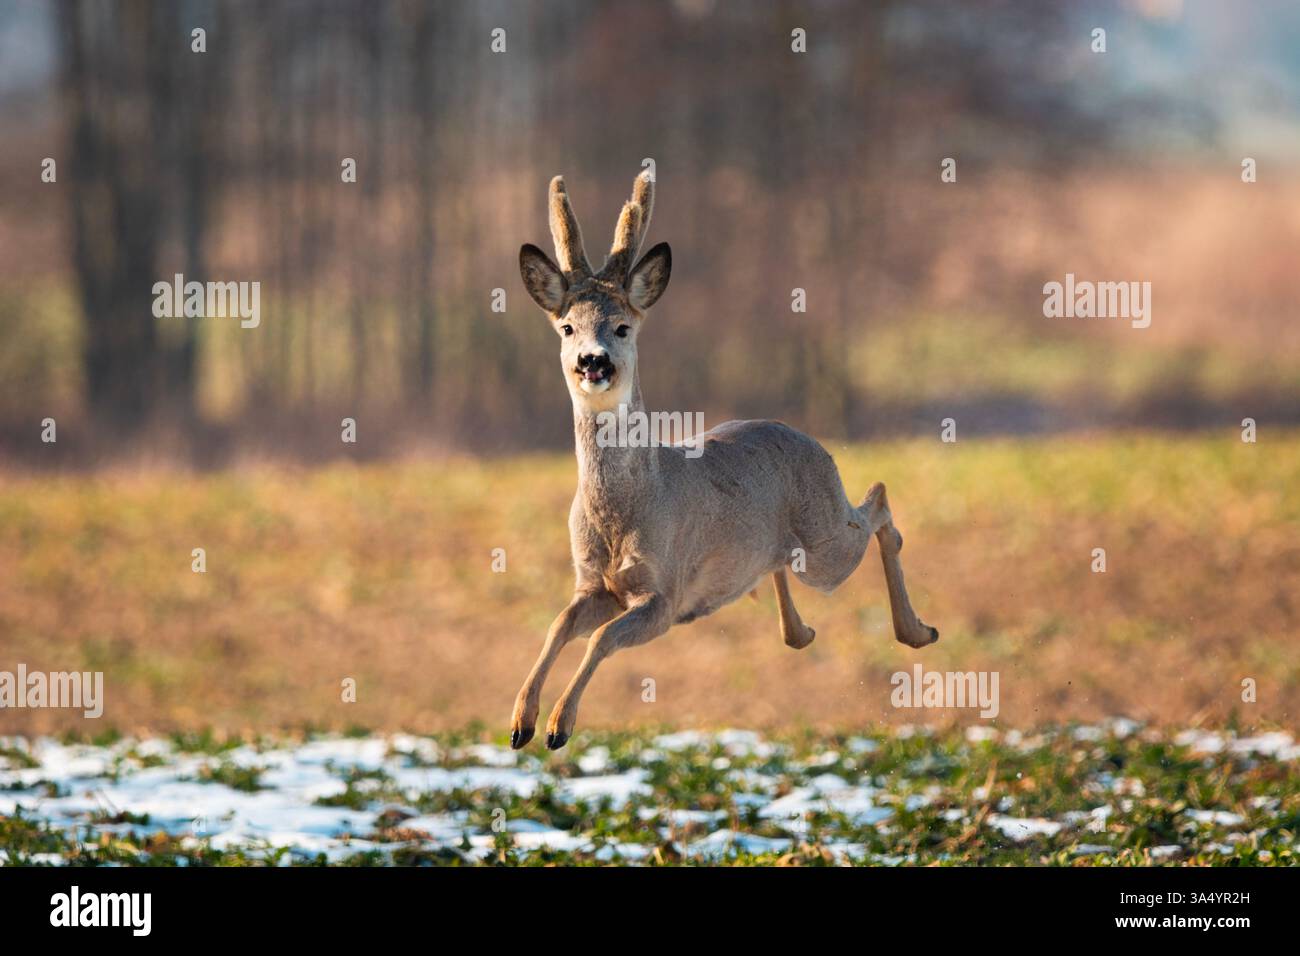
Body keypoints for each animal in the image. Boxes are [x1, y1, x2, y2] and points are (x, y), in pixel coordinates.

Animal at [511, 170, 938, 751]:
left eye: (622, 326)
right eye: (567, 328)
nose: (592, 362)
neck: (626, 510)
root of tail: (809, 439)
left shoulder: (665, 593)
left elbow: (599, 639)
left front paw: (559, 725)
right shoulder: (594, 583)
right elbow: (558, 626)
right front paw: (521, 721)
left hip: (825, 544)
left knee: (878, 503)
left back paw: (917, 630)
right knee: (800, 556)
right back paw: (801, 632)